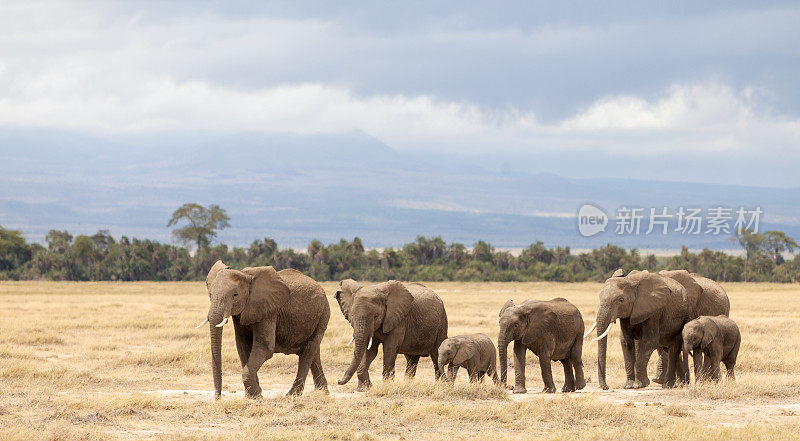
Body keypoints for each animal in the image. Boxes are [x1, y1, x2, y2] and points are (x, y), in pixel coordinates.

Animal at [198, 260, 330, 398]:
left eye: (235, 295)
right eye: (210, 294)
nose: (217, 398)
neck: (245, 275)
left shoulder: (269, 311)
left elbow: (264, 347)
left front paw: (256, 396)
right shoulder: (242, 314)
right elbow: (243, 346)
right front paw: (253, 395)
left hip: (323, 314)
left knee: (309, 350)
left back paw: (292, 395)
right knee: (314, 352)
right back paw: (323, 393)